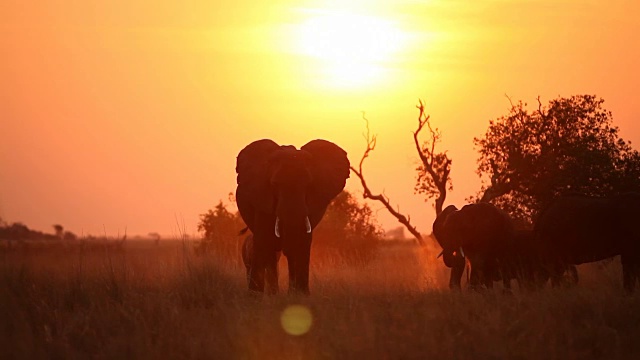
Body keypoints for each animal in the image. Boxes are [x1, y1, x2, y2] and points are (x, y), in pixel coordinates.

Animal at [234, 139, 348, 294]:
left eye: (308, 184)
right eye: (275, 184)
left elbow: (302, 241)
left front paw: (300, 296)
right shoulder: (262, 197)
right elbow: (264, 239)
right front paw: (254, 296)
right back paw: (273, 294)